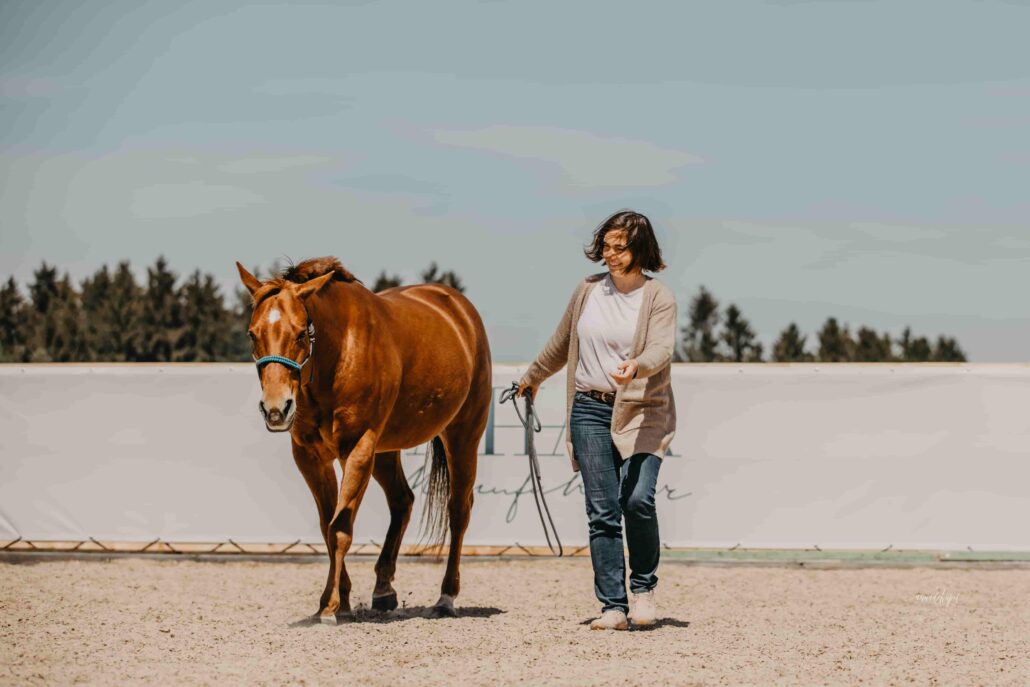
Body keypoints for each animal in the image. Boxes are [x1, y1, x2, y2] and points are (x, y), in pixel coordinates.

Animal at [235, 256, 490, 622]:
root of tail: (460, 310)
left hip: (462, 435)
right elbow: (328, 528)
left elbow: (340, 527)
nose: (275, 408)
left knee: (458, 511)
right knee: (402, 501)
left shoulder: (357, 449)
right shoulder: (310, 457)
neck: (339, 353)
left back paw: (446, 598)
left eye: (300, 333)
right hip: (385, 451)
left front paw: (329, 605)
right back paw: (383, 590)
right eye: (253, 334)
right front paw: (340, 598)